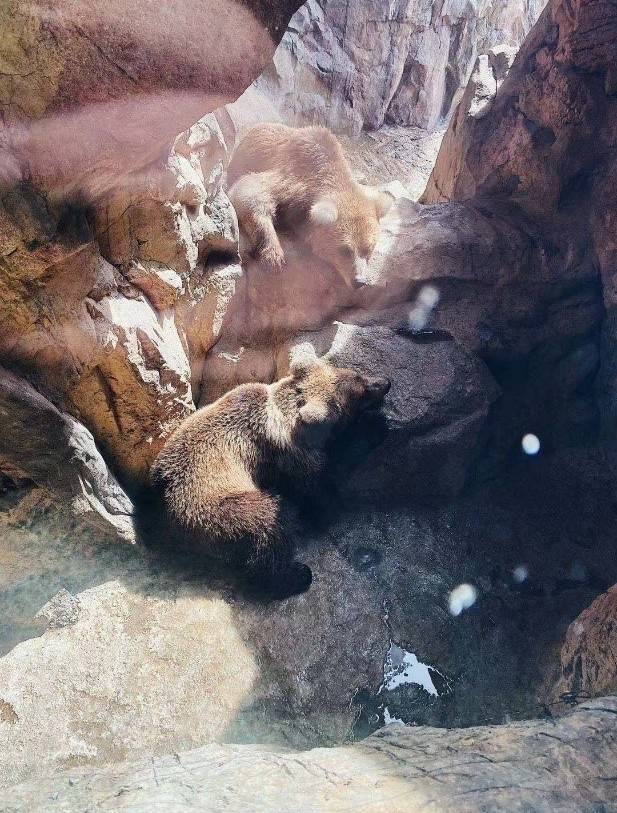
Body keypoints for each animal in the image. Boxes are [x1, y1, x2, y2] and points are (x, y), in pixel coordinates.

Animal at [149, 355, 390, 599]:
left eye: (356, 375)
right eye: (361, 392)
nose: (385, 382)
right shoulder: (288, 460)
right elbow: (322, 493)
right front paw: (373, 426)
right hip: (211, 510)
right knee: (271, 520)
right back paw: (296, 575)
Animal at [226, 122, 393, 288]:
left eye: (368, 249)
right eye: (345, 250)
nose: (359, 281)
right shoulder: (291, 178)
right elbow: (249, 191)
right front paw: (274, 256)